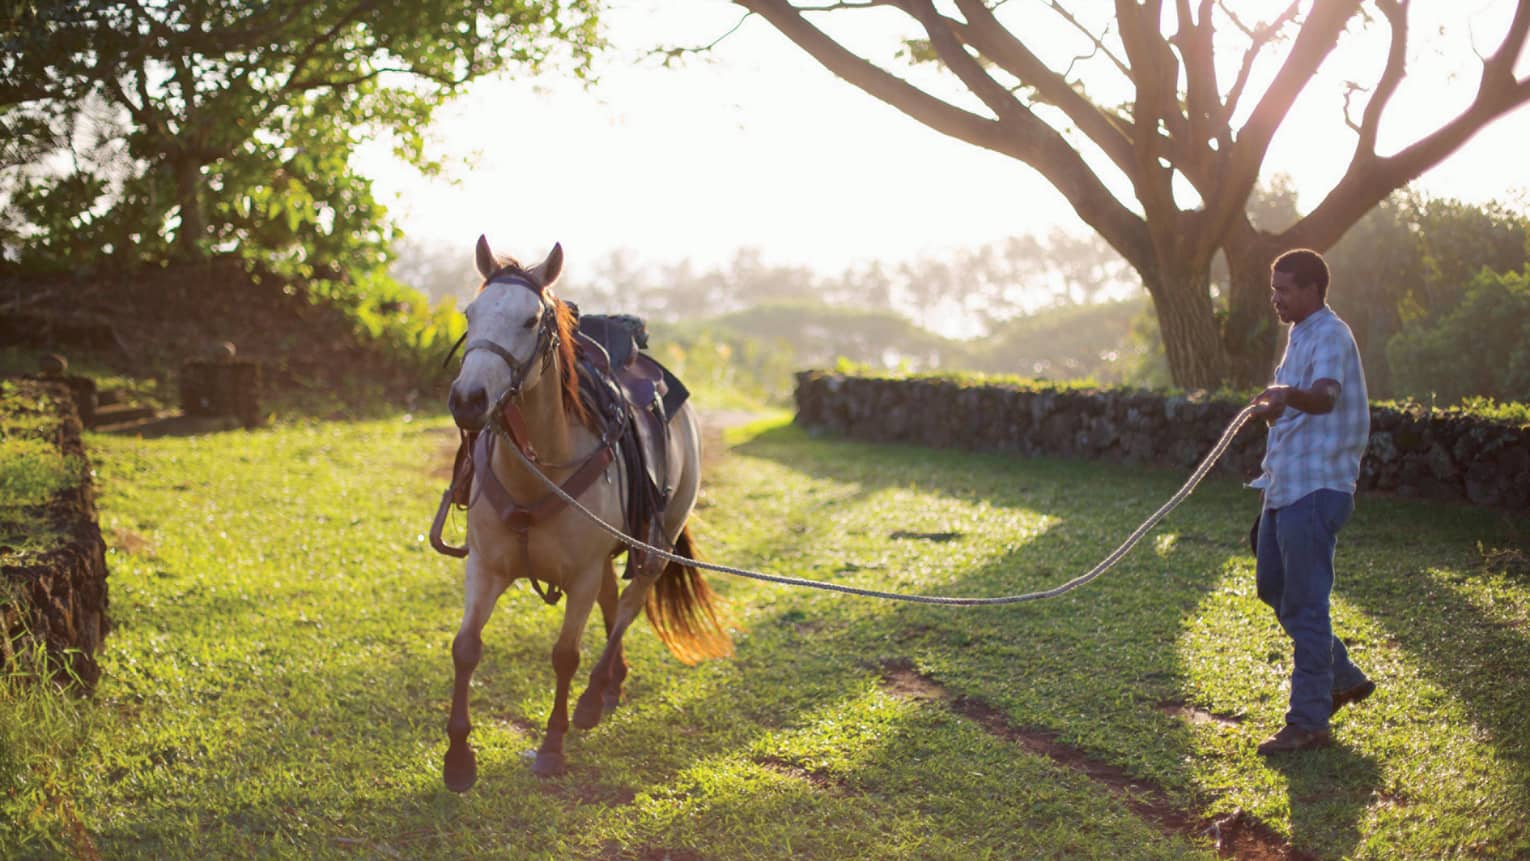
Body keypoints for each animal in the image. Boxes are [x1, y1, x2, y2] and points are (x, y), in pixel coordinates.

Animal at [440, 233, 731, 789]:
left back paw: (596, 696)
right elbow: (465, 647)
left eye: (531, 320)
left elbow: (564, 655)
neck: (539, 470)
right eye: (469, 312)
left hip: (656, 545)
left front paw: (552, 747)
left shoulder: (578, 576)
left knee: (630, 606)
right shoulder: (485, 567)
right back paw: (614, 682)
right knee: (613, 601)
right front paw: (459, 757)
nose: (468, 400)